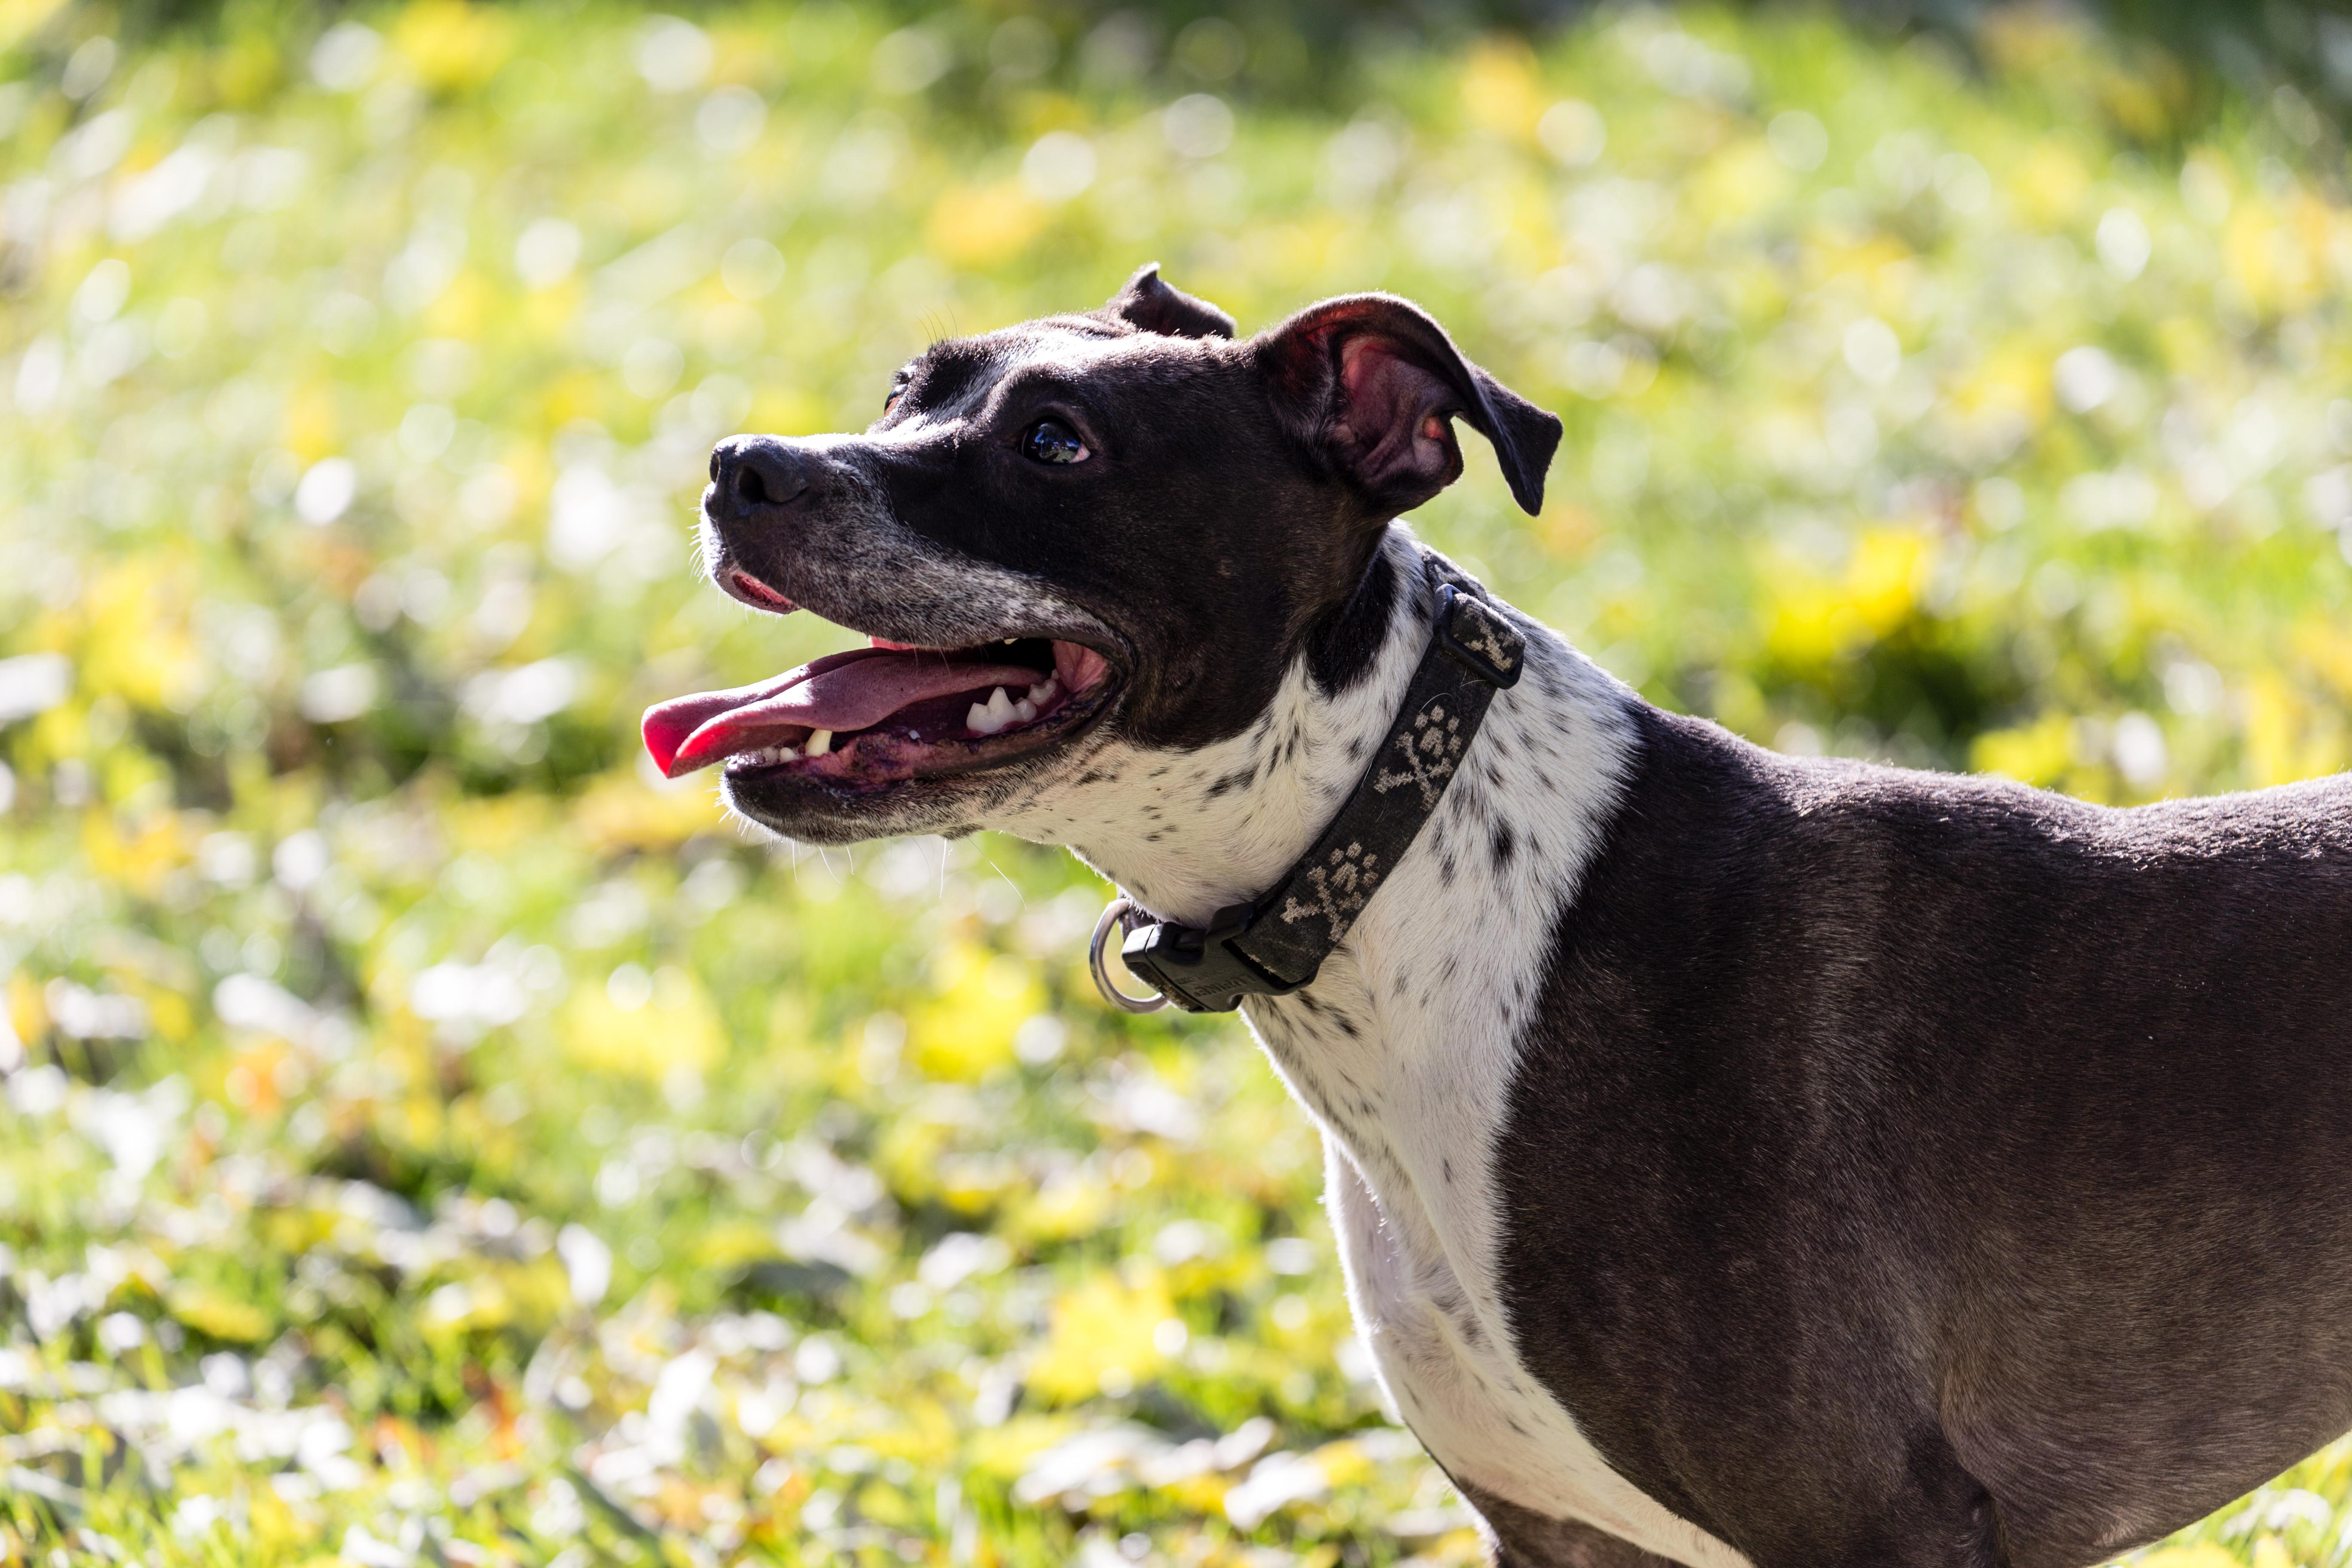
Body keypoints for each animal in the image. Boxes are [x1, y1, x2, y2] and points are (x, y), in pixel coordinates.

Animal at [640, 270, 2352, 1568]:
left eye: (1057, 440)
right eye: (901, 389)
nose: (742, 466)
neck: (1421, 868)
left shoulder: (1884, 1529)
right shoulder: (1561, 1532)